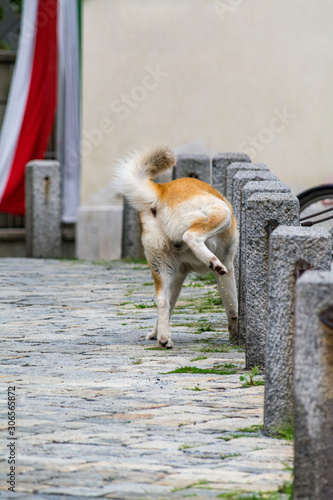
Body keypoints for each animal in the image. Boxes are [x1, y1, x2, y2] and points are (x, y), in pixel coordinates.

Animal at [113, 145, 237, 348]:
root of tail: (160, 192)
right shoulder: (229, 266)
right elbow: (233, 306)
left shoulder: (179, 277)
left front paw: (155, 333)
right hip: (221, 212)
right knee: (191, 237)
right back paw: (213, 262)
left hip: (162, 268)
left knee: (162, 302)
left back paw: (164, 339)